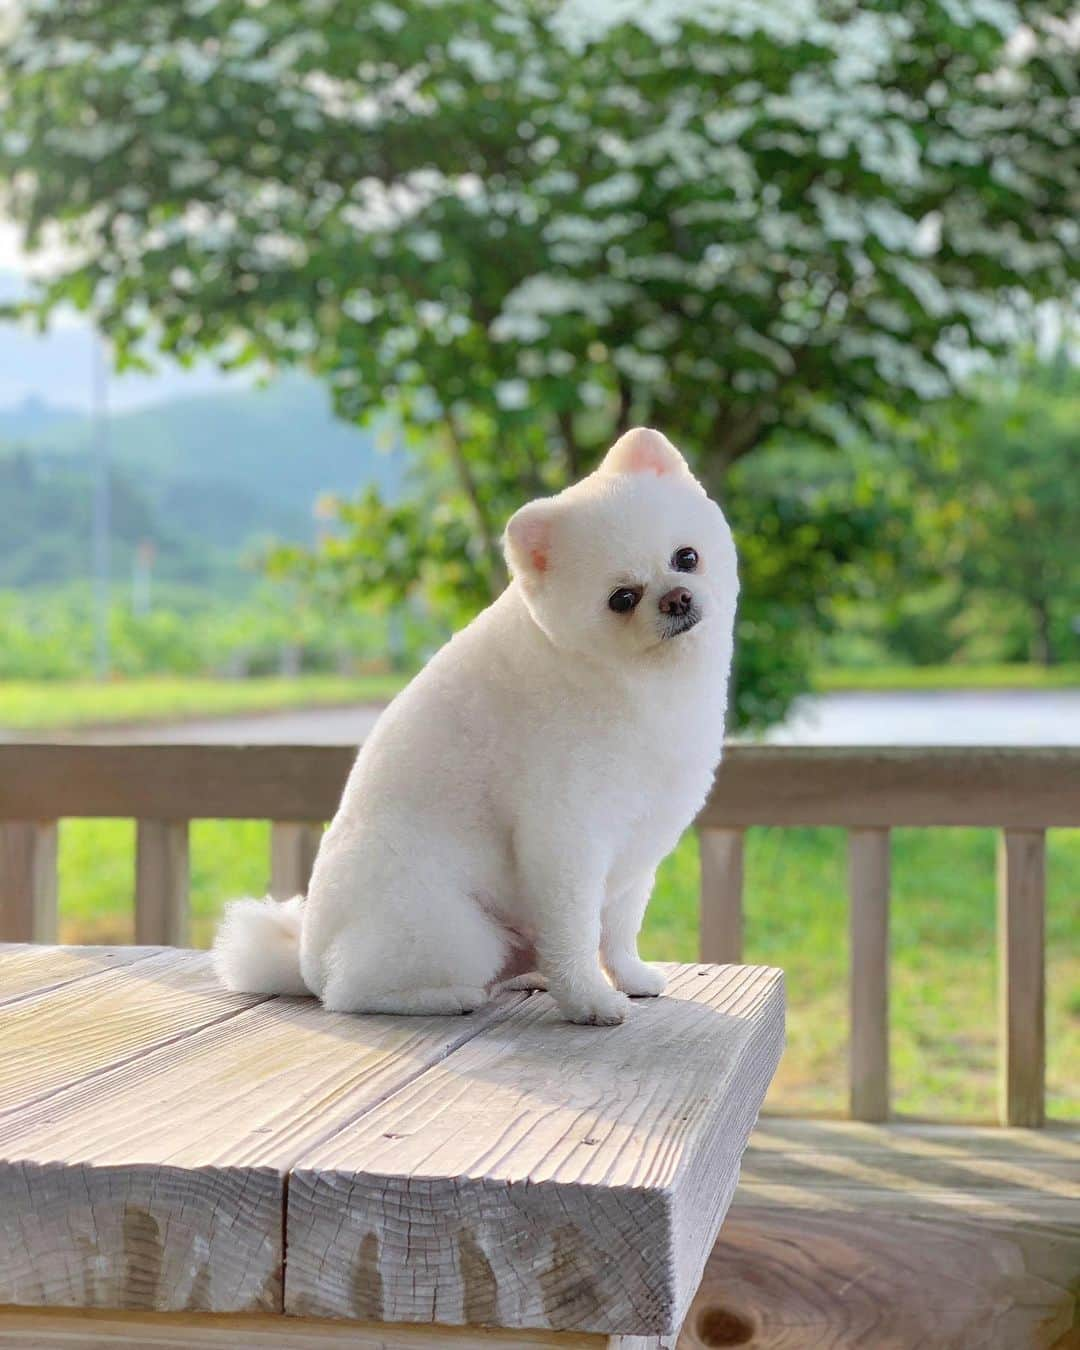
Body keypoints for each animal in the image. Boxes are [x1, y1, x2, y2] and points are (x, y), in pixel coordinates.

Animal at [213, 426, 734, 1026]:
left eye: (686, 557)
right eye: (621, 599)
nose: (676, 597)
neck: (638, 683)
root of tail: (305, 958)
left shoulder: (637, 842)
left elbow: (619, 929)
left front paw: (630, 977)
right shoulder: (564, 834)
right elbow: (576, 932)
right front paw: (590, 1001)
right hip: (453, 932)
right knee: (350, 993)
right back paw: (448, 997)